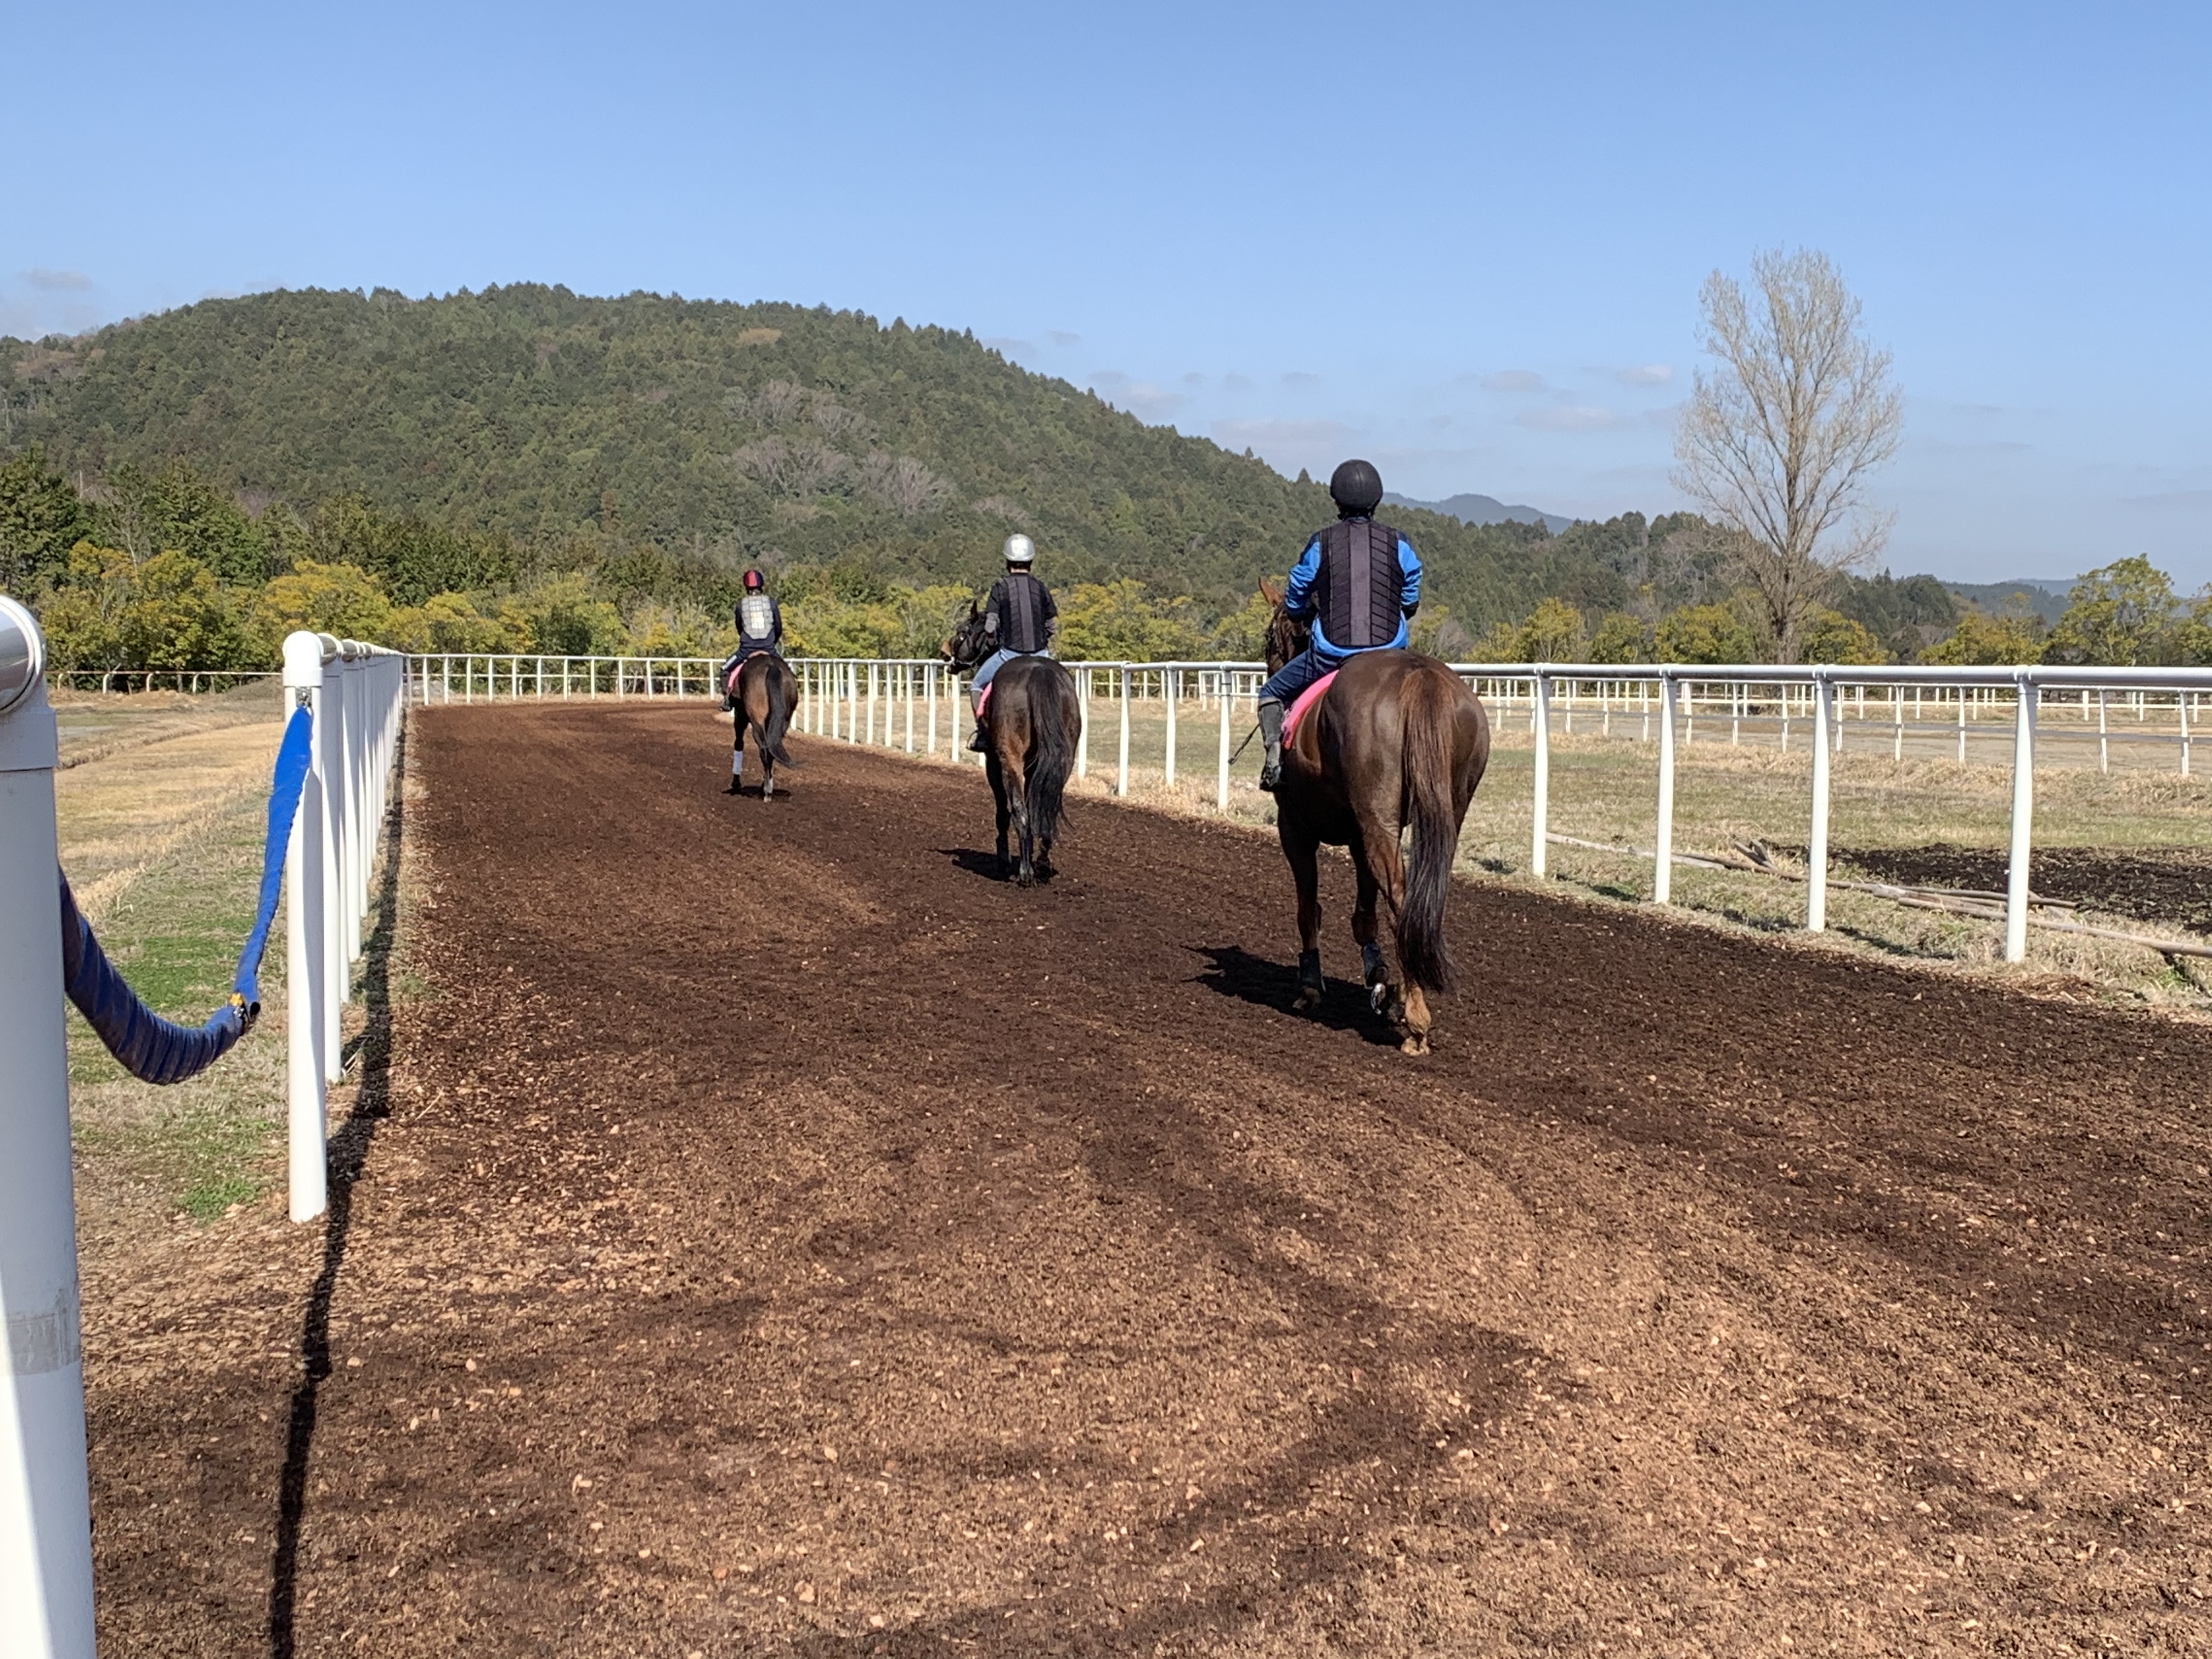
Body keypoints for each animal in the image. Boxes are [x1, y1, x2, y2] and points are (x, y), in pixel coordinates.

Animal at [730, 654, 800, 800]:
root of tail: (772, 667)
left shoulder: (740, 715)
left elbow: (739, 743)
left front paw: (736, 784)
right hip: (784, 721)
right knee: (773, 749)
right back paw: (767, 787)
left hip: (757, 721)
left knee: (764, 749)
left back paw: (767, 791)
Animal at [946, 610, 1084, 889]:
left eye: (962, 631)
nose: (948, 655)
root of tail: (1039, 673)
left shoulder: (994, 760)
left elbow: (1003, 809)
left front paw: (1003, 857)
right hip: (1063, 761)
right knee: (1047, 808)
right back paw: (1041, 866)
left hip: (1010, 759)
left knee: (1019, 810)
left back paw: (1025, 873)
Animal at [1265, 597, 1486, 1053]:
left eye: (1269, 635)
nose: (1272, 665)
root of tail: (1419, 677)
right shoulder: (1358, 832)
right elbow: (1364, 914)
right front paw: (1382, 983)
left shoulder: (1294, 827)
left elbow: (1308, 909)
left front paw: (1310, 987)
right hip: (1443, 813)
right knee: (1421, 901)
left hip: (1375, 820)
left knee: (1401, 901)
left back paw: (1417, 1021)